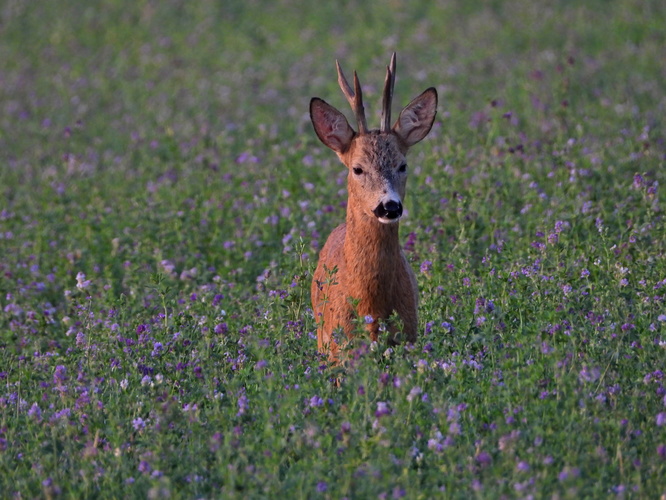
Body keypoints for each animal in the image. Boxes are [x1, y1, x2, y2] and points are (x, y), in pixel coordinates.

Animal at [310, 53, 438, 360]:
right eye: (357, 168)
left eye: (402, 165)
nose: (389, 206)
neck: (371, 307)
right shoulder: (339, 350)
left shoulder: (409, 335)